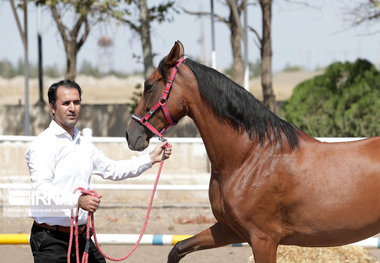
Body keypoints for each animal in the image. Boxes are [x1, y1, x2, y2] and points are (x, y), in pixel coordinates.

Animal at [126, 40, 380, 262]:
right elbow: (178, 248)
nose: (131, 134)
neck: (250, 158)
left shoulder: (263, 239)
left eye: (149, 85)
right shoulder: (229, 229)